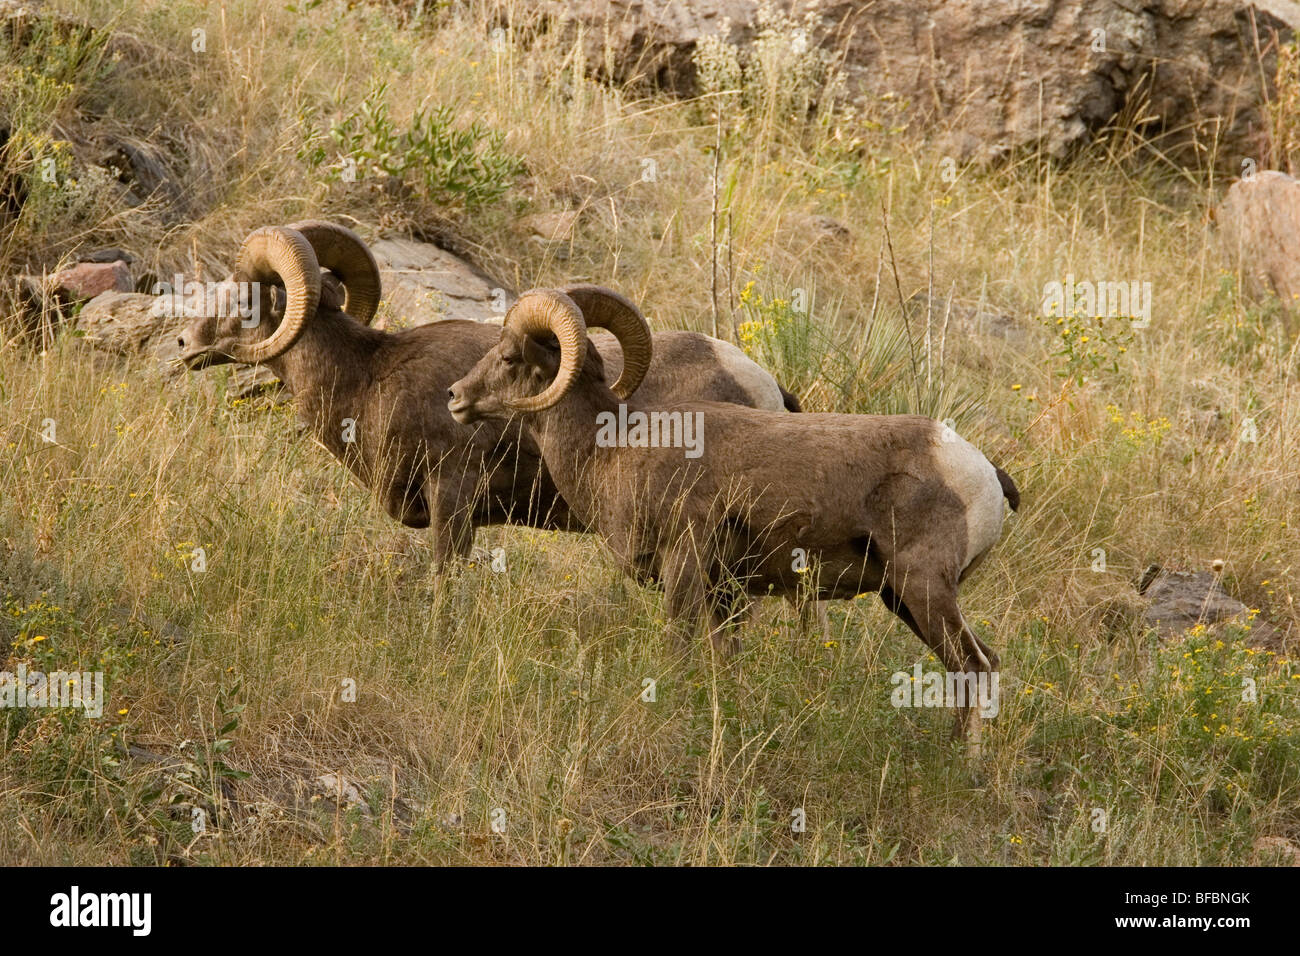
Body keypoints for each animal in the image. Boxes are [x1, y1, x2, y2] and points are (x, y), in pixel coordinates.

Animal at [447, 289, 1020, 742]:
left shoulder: (686, 567)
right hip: (901, 598)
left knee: (974, 666)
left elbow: (677, 650)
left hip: (924, 590)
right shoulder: (727, 592)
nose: (454, 397)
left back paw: (962, 766)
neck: (610, 450)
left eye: (508, 356)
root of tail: (983, 473)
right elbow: (726, 663)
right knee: (978, 666)